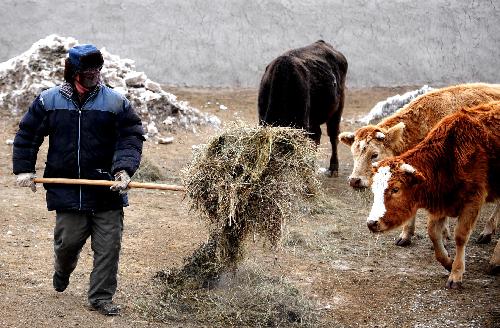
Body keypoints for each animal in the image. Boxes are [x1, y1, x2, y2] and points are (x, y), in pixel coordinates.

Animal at [258, 40, 348, 177]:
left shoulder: (302, 124)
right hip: (314, 118)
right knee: (317, 136)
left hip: (338, 107)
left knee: (333, 136)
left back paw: (333, 169)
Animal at [338, 82, 500, 246]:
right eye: (353, 154)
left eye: (374, 154)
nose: (354, 180)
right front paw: (405, 236)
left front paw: (443, 236)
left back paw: (486, 232)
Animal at [366, 103, 498, 288]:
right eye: (374, 190)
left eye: (396, 189)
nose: (372, 223)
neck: (448, 158)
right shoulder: (441, 203)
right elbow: (433, 234)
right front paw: (448, 262)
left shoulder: (473, 200)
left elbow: (460, 236)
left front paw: (456, 274)